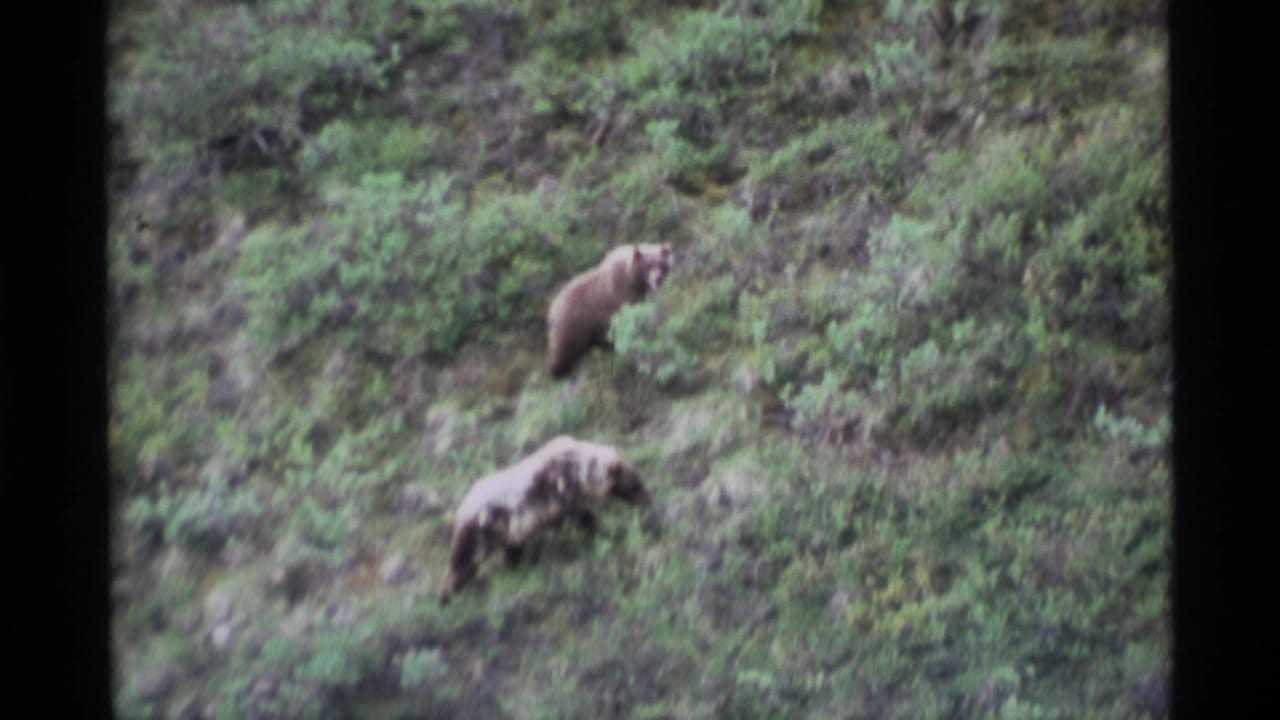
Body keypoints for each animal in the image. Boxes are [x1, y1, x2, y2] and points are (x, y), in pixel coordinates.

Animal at [440, 435, 650, 603]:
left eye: (639, 480)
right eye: (636, 485)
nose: (648, 499)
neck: (581, 472)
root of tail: (462, 507)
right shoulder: (562, 494)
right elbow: (581, 517)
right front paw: (598, 531)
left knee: (509, 550)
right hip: (483, 529)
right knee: (465, 560)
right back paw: (448, 593)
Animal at [546, 243, 674, 379]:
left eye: (661, 264)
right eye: (648, 266)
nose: (658, 279)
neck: (632, 279)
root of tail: (553, 308)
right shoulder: (618, 297)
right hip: (574, 322)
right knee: (565, 348)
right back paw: (559, 369)